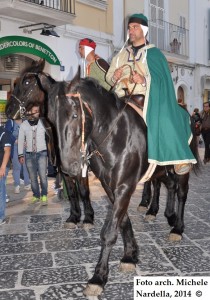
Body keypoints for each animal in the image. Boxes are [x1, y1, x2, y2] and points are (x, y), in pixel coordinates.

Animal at [5, 61, 94, 230]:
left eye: (27, 82)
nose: (8, 110)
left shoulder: (82, 165)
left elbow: (84, 190)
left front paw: (88, 218)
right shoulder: (63, 166)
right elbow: (72, 191)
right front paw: (74, 217)